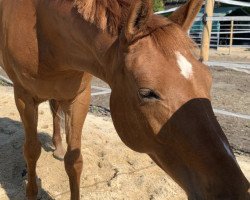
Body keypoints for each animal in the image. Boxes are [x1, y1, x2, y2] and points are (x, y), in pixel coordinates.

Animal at [0, 0, 249, 199]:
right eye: (146, 93)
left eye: (208, 79)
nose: (237, 190)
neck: (44, 35)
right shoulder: (23, 98)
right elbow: (31, 151)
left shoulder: (79, 98)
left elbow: (74, 160)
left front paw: (65, 153)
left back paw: (58, 147)